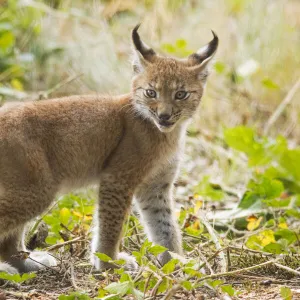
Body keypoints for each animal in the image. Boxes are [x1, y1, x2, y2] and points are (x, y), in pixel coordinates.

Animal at [0, 25, 218, 274]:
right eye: (150, 93)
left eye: (180, 94)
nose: (164, 116)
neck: (168, 132)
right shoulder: (117, 178)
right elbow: (112, 225)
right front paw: (108, 261)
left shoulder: (156, 185)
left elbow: (165, 227)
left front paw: (176, 261)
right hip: (36, 189)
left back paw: (24, 262)